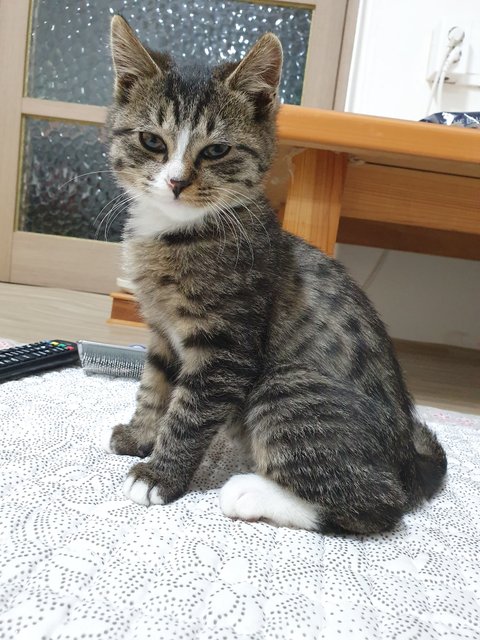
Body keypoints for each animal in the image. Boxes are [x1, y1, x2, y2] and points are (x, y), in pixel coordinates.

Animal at [103, 14, 447, 534]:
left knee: (377, 505)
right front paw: (141, 434)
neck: (177, 233)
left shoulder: (226, 347)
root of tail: (408, 460)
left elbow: (189, 411)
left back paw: (251, 493)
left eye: (216, 150)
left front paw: (160, 475)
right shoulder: (162, 332)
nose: (177, 181)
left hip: (287, 383)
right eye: (151, 141)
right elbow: (154, 385)